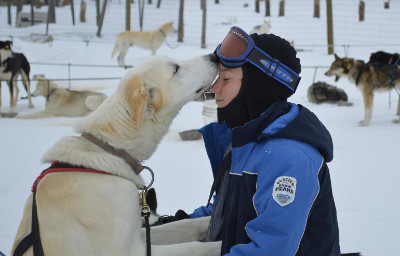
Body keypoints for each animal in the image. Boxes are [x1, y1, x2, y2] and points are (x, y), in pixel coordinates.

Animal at [10, 54, 220, 256]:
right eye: (175, 68)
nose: (214, 56)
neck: (108, 148)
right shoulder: (132, 250)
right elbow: (195, 247)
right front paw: (221, 245)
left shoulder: (140, 233)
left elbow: (183, 224)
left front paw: (209, 220)